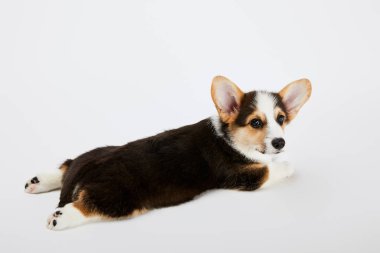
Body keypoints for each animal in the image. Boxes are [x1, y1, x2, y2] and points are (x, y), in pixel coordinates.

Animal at [25, 75, 314, 229]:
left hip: (95, 152)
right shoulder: (241, 175)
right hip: (122, 198)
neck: (228, 135)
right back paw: (61, 216)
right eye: (256, 123)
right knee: (89, 204)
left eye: (281, 119)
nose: (280, 143)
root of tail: (88, 168)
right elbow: (274, 167)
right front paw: (285, 163)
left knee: (67, 163)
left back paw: (38, 180)